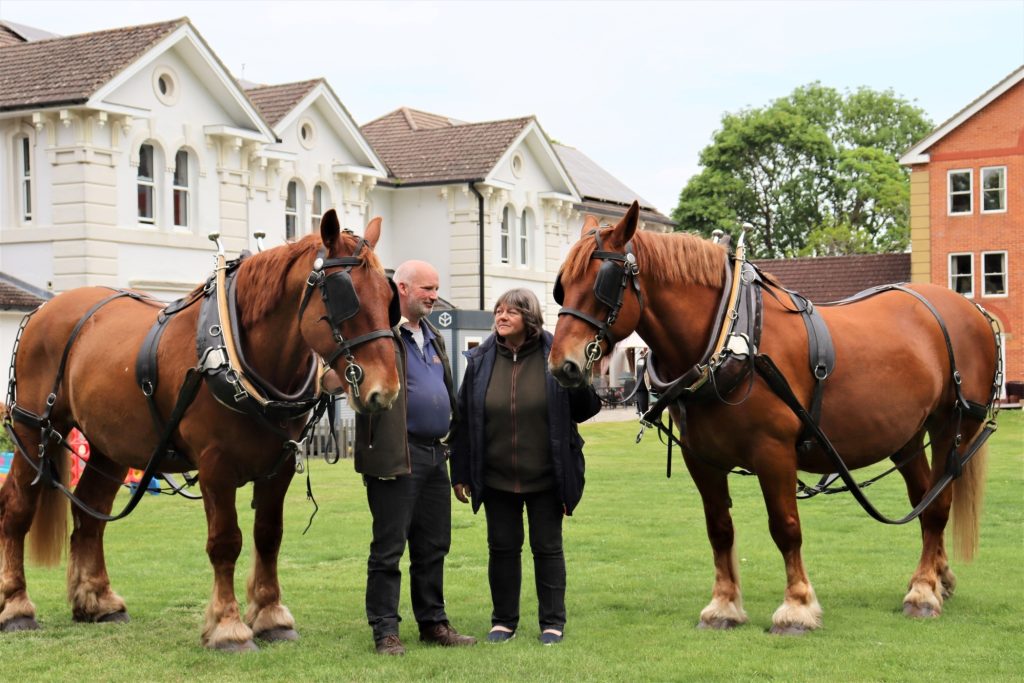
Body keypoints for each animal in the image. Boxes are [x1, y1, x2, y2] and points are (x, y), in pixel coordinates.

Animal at [0, 209, 400, 650]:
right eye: (346, 296)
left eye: (388, 298)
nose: (384, 390)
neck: (237, 353)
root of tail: (43, 310)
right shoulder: (215, 467)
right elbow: (225, 542)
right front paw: (228, 626)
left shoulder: (277, 468)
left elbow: (268, 536)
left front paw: (271, 616)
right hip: (34, 427)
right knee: (17, 508)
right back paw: (16, 606)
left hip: (110, 444)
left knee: (90, 510)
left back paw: (98, 601)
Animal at [549, 201, 1000, 635]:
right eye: (562, 286)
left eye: (603, 282)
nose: (562, 365)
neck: (729, 335)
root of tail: (971, 308)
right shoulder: (701, 459)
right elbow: (719, 529)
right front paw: (723, 606)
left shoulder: (774, 453)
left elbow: (785, 527)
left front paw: (796, 608)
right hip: (904, 434)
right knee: (925, 499)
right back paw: (937, 578)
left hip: (953, 426)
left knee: (939, 504)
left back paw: (923, 592)